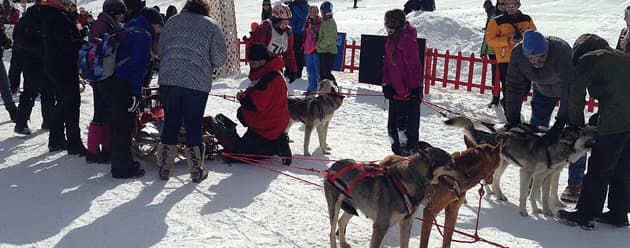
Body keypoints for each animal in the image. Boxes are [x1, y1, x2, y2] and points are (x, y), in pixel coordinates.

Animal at [326, 141, 470, 248]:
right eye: (451, 164)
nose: (467, 176)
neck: (409, 183)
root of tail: (334, 165)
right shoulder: (380, 228)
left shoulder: (406, 224)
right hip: (335, 206)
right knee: (332, 231)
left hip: (353, 206)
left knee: (341, 222)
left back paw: (343, 243)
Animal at [446, 117, 600, 216]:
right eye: (584, 133)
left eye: (589, 129)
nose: (598, 131)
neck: (550, 149)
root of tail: (490, 134)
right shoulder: (527, 172)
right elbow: (526, 194)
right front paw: (524, 211)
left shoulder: (545, 175)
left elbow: (543, 194)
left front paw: (541, 210)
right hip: (498, 165)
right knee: (490, 179)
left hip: (503, 164)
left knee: (495, 180)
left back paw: (498, 195)